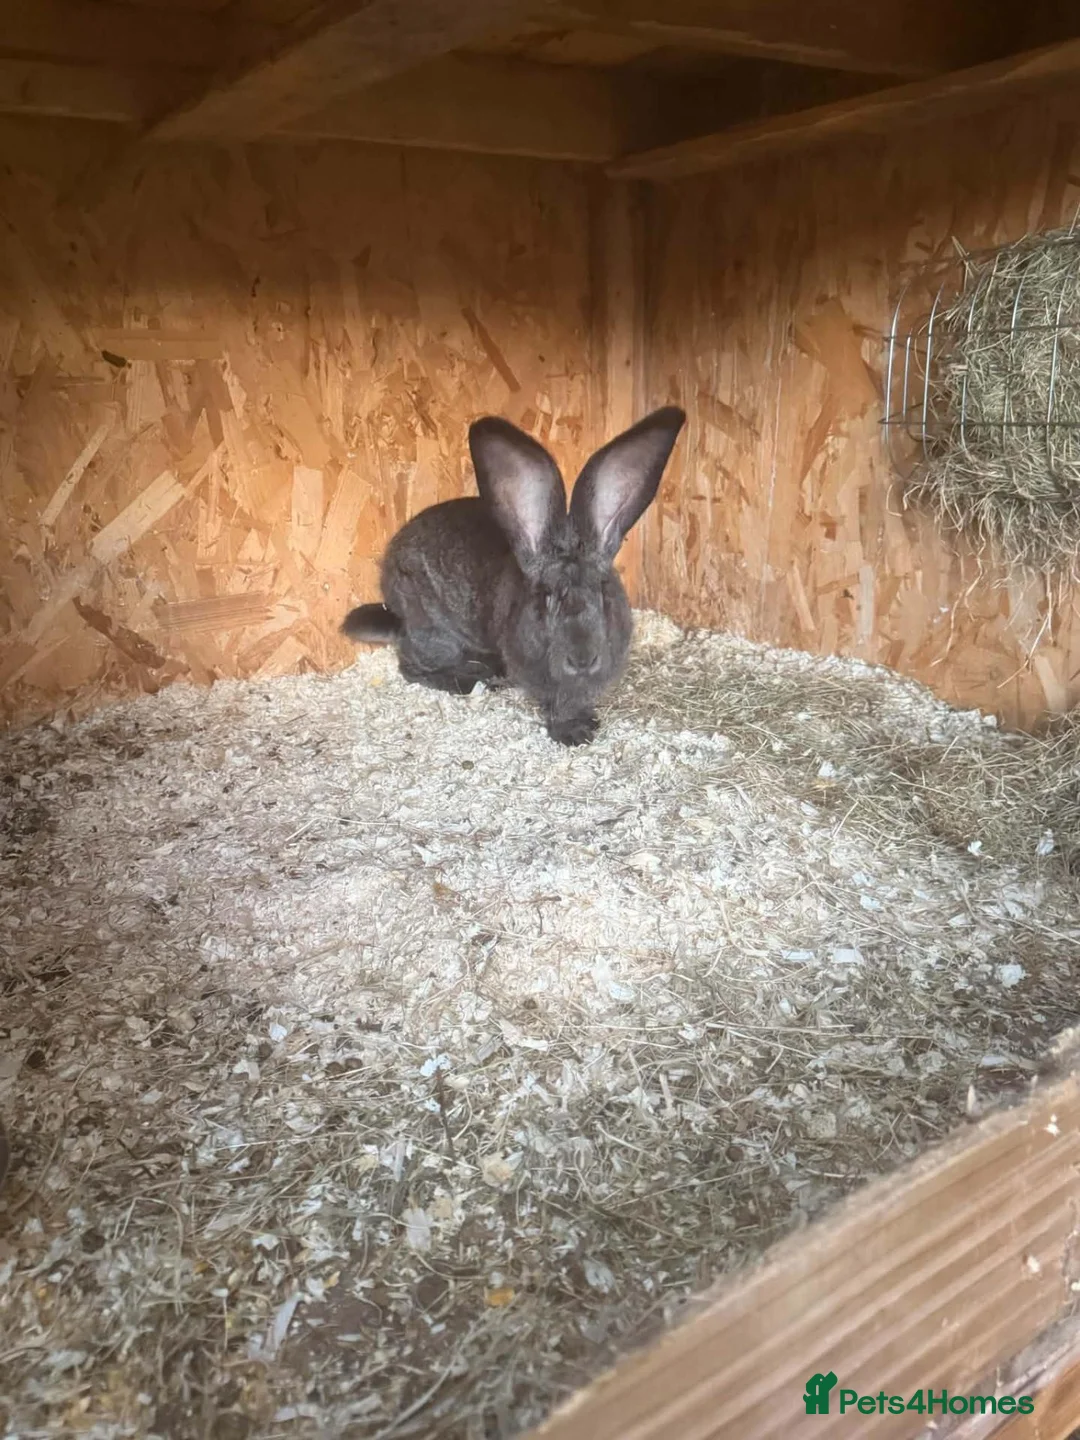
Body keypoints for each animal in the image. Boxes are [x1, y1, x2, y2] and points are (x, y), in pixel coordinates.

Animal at [341, 405, 686, 746]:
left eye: (603, 591)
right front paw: (573, 733)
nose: (582, 659)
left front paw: (586, 721)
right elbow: (557, 702)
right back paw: (471, 680)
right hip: (434, 632)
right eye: (546, 599)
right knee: (411, 666)